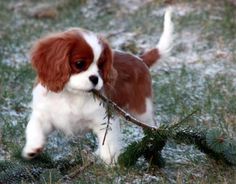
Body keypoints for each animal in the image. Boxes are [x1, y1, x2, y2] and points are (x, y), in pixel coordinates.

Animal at [22, 8, 173, 164]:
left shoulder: (105, 120)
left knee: (152, 127)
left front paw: (111, 165)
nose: (95, 79)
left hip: (142, 109)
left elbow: (109, 145)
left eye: (101, 65)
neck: (71, 94)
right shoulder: (44, 113)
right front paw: (32, 149)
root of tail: (139, 58)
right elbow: (34, 126)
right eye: (79, 63)